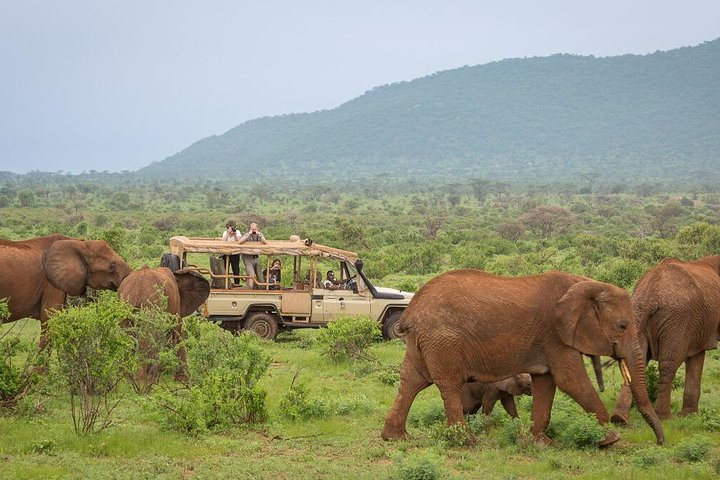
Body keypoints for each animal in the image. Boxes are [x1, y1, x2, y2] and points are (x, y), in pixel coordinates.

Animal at [381, 269, 665, 446]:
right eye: (622, 326)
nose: (660, 442)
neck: (585, 283)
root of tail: (412, 310)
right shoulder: (555, 333)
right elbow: (570, 380)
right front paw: (610, 440)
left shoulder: (548, 340)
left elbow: (547, 382)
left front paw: (539, 442)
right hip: (443, 340)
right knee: (448, 385)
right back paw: (468, 443)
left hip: (423, 343)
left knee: (411, 381)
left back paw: (395, 438)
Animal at [611, 255, 720, 424]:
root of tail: (651, 295)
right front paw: (689, 415)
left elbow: (696, 358)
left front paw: (688, 415)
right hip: (677, 320)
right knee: (668, 365)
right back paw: (664, 417)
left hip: (636, 314)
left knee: (635, 361)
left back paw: (619, 419)